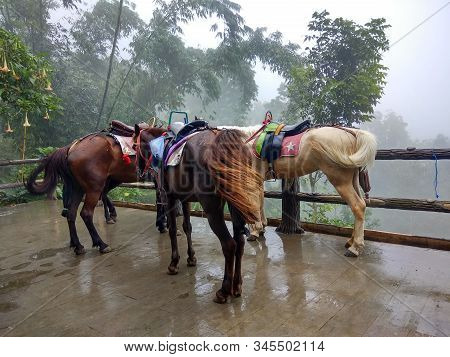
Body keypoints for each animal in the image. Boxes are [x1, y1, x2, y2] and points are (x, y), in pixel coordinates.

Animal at [25, 127, 165, 253]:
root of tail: (71, 148)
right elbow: (161, 201)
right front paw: (163, 225)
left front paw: (161, 224)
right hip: (94, 187)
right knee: (86, 213)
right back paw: (102, 244)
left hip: (80, 187)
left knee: (72, 212)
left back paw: (78, 245)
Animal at [137, 125, 264, 304]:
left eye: (135, 146)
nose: (139, 171)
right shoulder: (185, 199)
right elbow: (187, 227)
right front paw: (191, 258)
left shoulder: (169, 197)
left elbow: (173, 230)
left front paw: (174, 263)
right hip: (236, 203)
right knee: (239, 242)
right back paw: (237, 286)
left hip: (212, 210)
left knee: (229, 244)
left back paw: (224, 291)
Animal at [221, 124, 376, 258]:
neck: (247, 144)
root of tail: (351, 133)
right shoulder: (259, 181)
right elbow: (260, 202)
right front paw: (261, 229)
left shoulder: (252, 181)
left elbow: (255, 204)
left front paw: (255, 231)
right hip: (353, 180)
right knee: (360, 206)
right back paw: (351, 241)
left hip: (341, 181)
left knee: (358, 206)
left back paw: (355, 248)